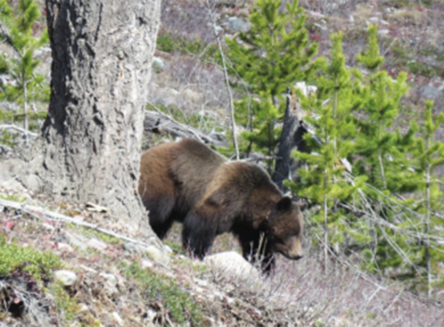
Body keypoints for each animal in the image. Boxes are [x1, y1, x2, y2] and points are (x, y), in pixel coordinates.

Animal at [139, 140, 306, 272]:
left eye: (299, 233)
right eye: (292, 232)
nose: (299, 255)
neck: (250, 207)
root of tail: (147, 151)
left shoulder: (250, 228)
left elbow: (257, 249)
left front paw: (265, 268)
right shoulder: (228, 197)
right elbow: (200, 224)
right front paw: (198, 252)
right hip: (163, 180)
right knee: (156, 209)